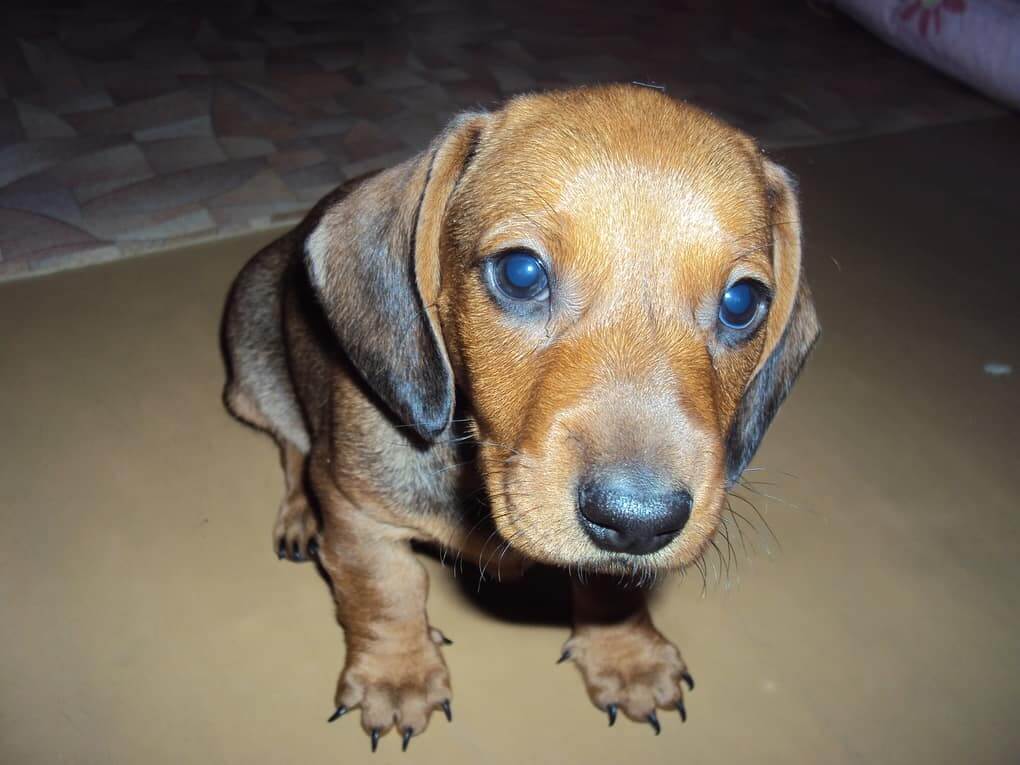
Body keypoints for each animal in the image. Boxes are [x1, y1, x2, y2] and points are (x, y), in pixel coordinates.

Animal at [221, 82, 820, 750]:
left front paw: (626, 658)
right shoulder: (358, 515)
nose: (639, 522)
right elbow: (387, 592)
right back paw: (300, 513)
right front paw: (396, 678)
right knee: (291, 447)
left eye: (743, 302)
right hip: (253, 375)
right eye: (521, 272)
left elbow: (608, 586)